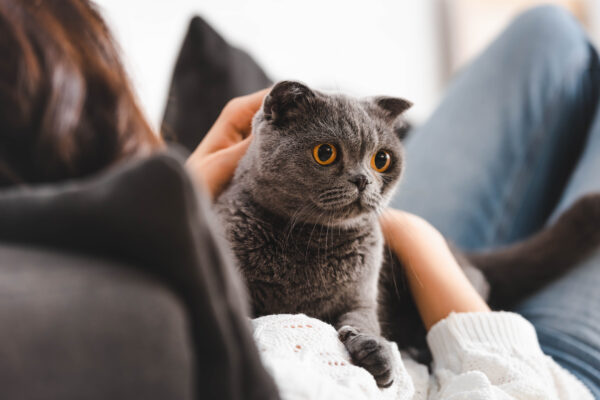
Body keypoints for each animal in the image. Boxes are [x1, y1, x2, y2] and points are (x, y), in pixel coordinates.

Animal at [217, 80, 600, 388]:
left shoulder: (362, 295)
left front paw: (375, 352)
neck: (309, 240)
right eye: (325, 153)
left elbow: (363, 320)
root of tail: (459, 251)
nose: (363, 180)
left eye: (381, 159)